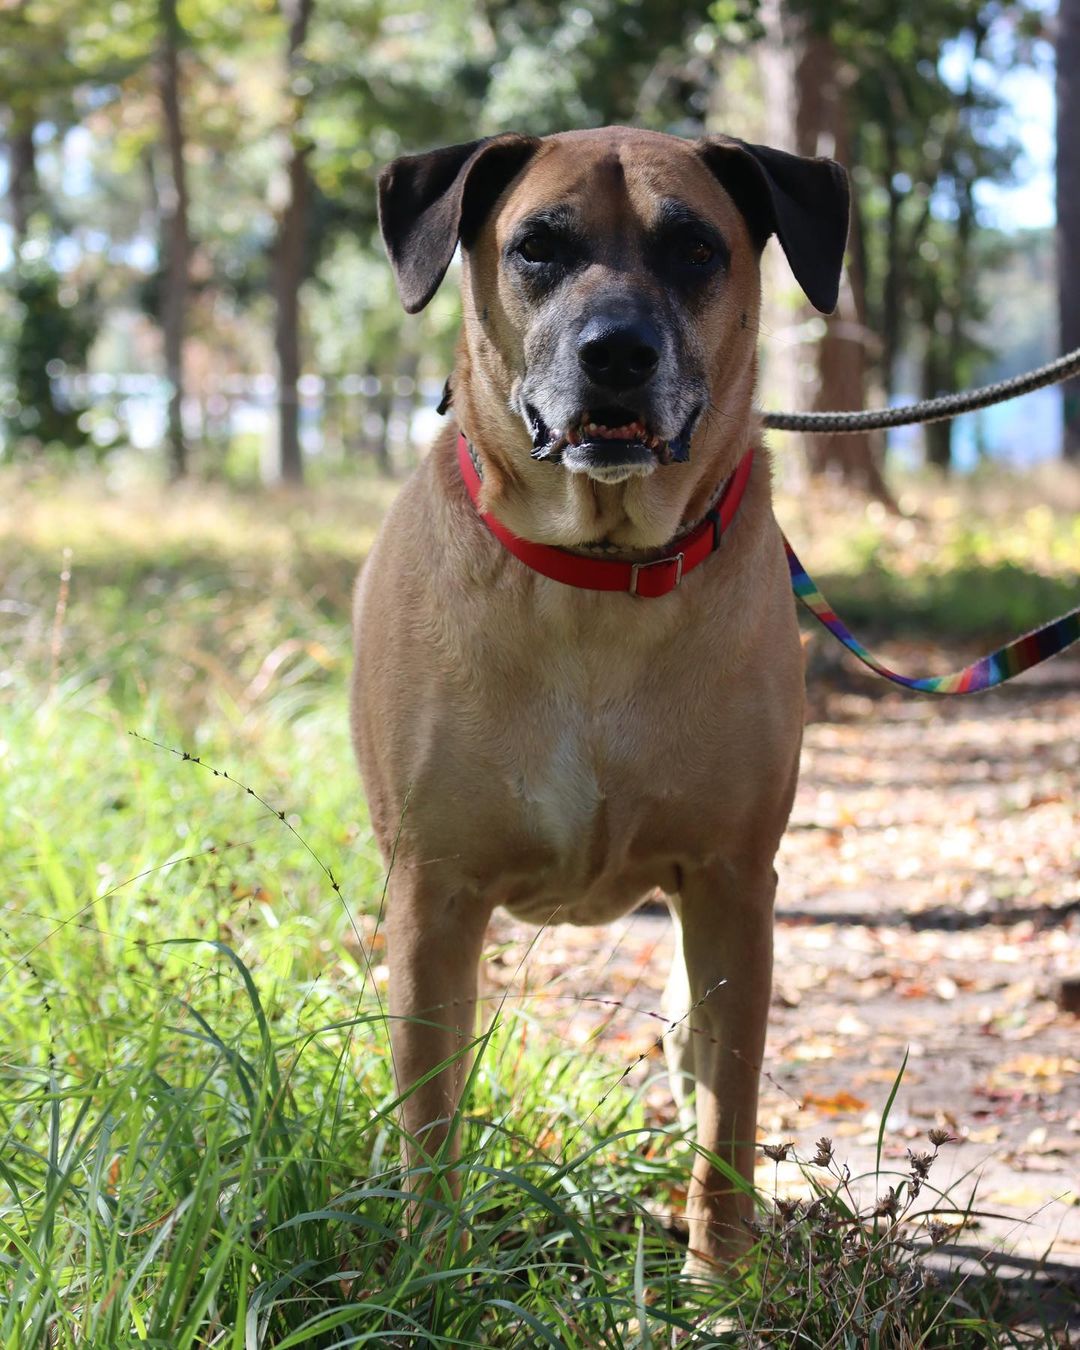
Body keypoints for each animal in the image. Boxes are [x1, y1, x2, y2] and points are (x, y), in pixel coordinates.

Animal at [351, 124, 847, 1263]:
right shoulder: (431, 894)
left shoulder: (731, 886)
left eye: (696, 249)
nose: (616, 352)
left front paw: (721, 1281)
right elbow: (429, 1118)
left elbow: (729, 1116)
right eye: (538, 245)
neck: (598, 579)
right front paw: (431, 1273)